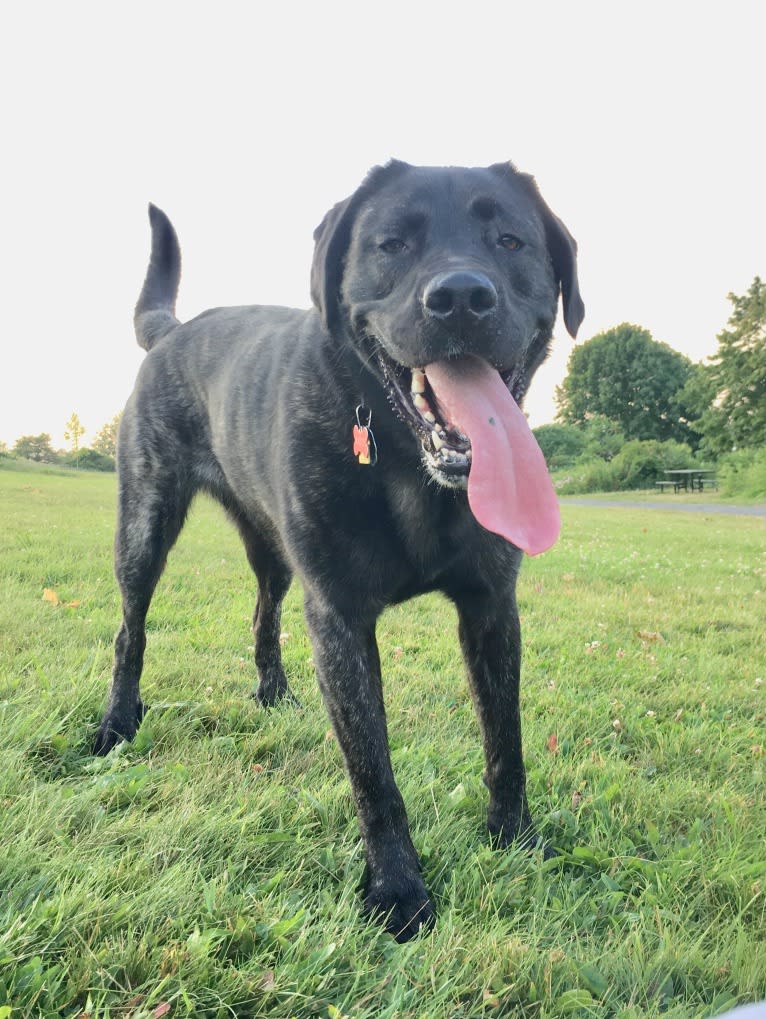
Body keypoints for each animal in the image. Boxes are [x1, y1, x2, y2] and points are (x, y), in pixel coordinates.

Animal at [97, 158, 586, 937]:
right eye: (391, 244)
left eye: (509, 240)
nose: (460, 297)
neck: (410, 468)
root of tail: (171, 330)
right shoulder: (341, 619)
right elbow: (372, 769)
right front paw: (397, 889)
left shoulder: (491, 607)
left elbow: (504, 739)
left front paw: (516, 838)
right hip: (144, 524)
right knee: (130, 630)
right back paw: (117, 721)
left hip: (272, 552)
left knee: (263, 614)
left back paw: (273, 693)